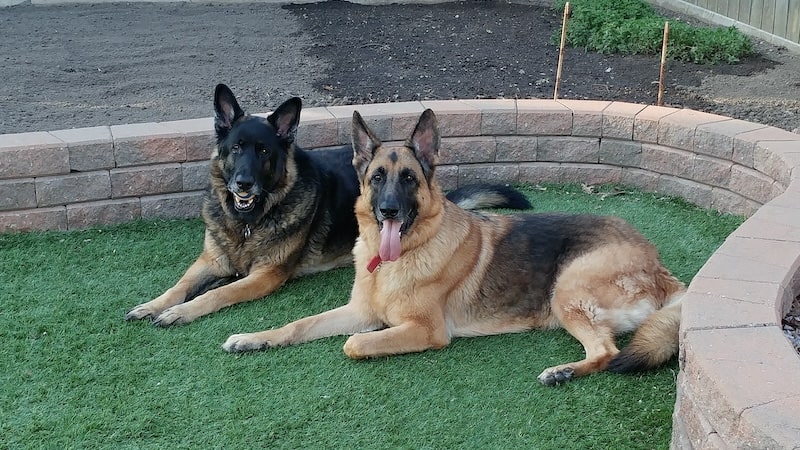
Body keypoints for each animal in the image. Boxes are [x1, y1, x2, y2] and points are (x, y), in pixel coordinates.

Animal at [125, 84, 528, 326]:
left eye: (264, 152)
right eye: (236, 148)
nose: (243, 183)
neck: (249, 221)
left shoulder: (265, 276)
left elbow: (220, 292)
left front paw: (181, 312)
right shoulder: (209, 260)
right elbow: (179, 285)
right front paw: (154, 304)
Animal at [223, 107, 688, 384]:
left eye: (409, 178)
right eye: (377, 178)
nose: (389, 210)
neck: (399, 259)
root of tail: (660, 267)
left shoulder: (424, 330)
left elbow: (352, 344)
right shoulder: (360, 311)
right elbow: (298, 324)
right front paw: (254, 338)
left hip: (567, 289)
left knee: (608, 351)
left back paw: (564, 371)